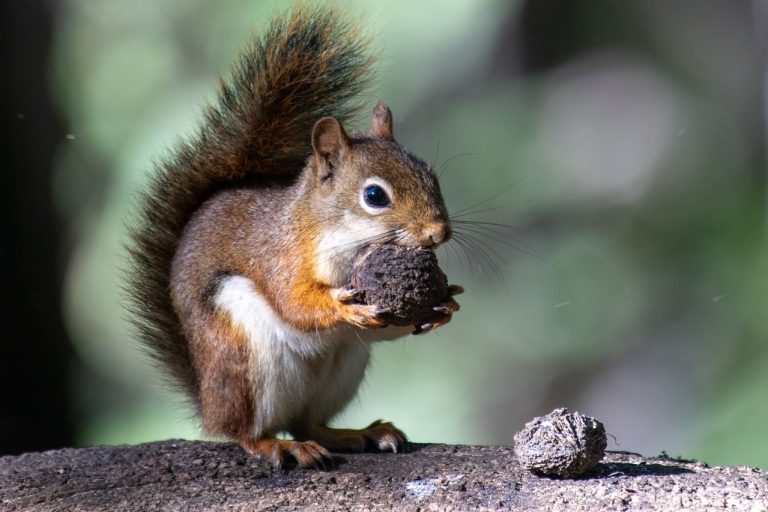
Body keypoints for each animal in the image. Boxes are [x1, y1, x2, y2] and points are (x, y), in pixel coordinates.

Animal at [127, 5, 462, 468]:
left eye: (430, 173)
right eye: (375, 196)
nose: (438, 232)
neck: (332, 234)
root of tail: (208, 404)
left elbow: (389, 326)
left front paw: (445, 304)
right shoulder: (278, 255)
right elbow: (293, 302)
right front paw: (342, 307)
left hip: (344, 367)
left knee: (310, 423)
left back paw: (361, 433)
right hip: (242, 359)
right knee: (246, 431)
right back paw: (277, 444)